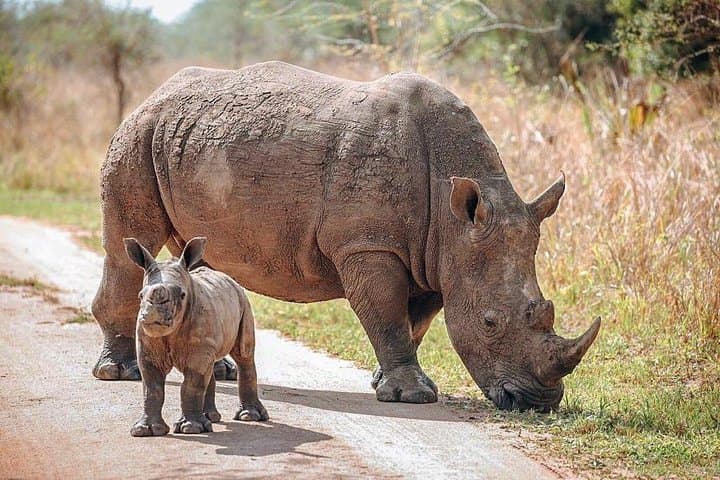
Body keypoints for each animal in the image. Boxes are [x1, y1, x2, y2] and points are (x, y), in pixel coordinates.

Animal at [92, 61, 600, 411]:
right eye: (491, 322)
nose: (536, 403)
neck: (455, 214)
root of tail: (153, 94)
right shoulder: (369, 244)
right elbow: (387, 313)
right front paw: (412, 397)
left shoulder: (437, 254)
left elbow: (415, 322)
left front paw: (385, 384)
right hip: (138, 136)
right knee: (129, 243)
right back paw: (119, 373)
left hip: (182, 143)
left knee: (193, 252)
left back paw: (217, 369)